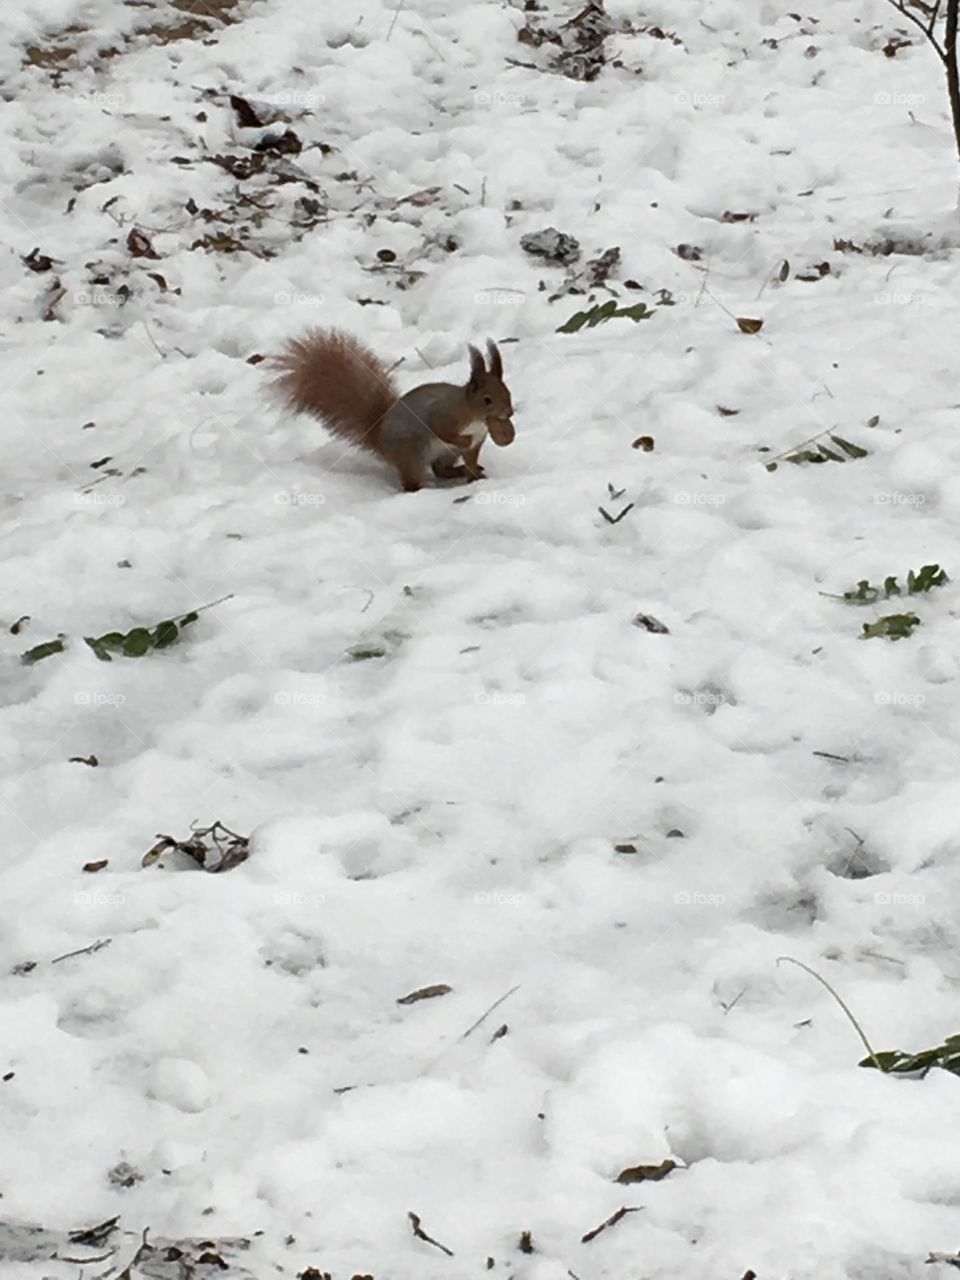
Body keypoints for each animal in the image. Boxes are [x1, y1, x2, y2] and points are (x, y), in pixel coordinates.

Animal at [271, 329, 515, 492]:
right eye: (487, 400)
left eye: (508, 392)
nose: (509, 413)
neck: (476, 418)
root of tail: (381, 441)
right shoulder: (444, 416)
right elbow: (442, 430)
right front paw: (464, 442)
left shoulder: (478, 440)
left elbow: (472, 458)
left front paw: (475, 476)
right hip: (412, 453)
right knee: (411, 480)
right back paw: (420, 488)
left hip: (446, 454)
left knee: (440, 469)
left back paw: (459, 471)